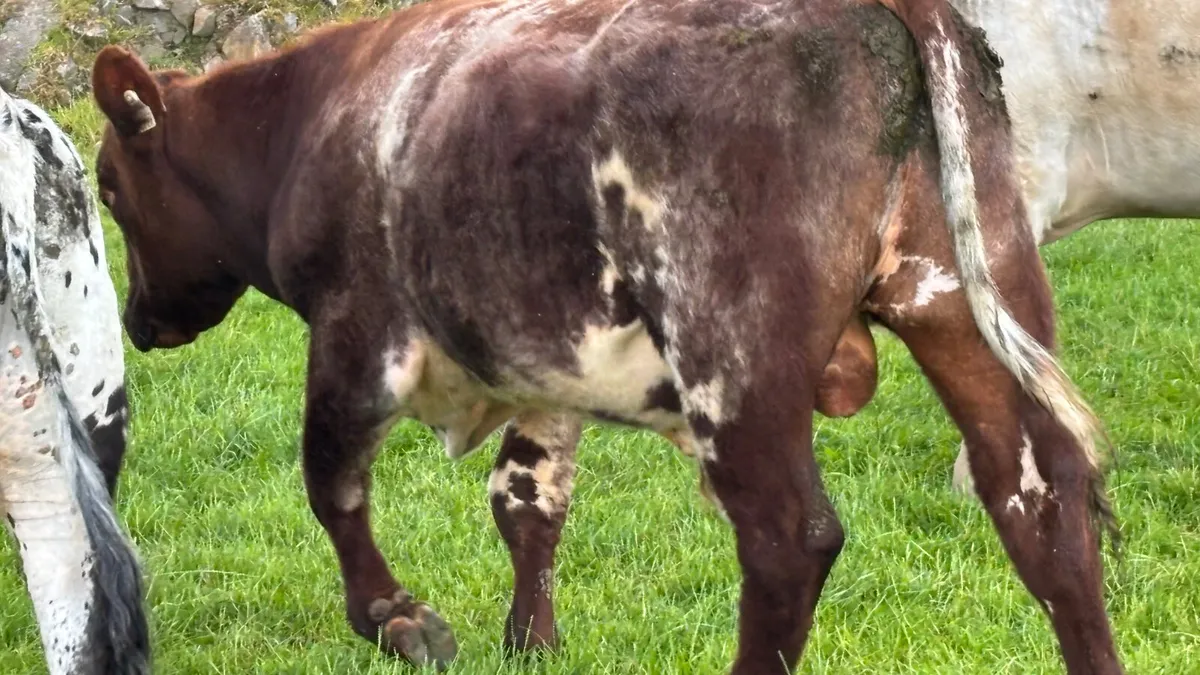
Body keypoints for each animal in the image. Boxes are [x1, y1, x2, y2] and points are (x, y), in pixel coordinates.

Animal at [89, 0, 1123, 672]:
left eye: (108, 188)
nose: (139, 322)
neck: (308, 121)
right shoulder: (550, 367)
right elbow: (525, 501)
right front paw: (529, 643)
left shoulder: (356, 332)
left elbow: (332, 485)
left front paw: (396, 617)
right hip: (965, 299)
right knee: (1042, 503)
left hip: (731, 357)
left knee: (790, 537)